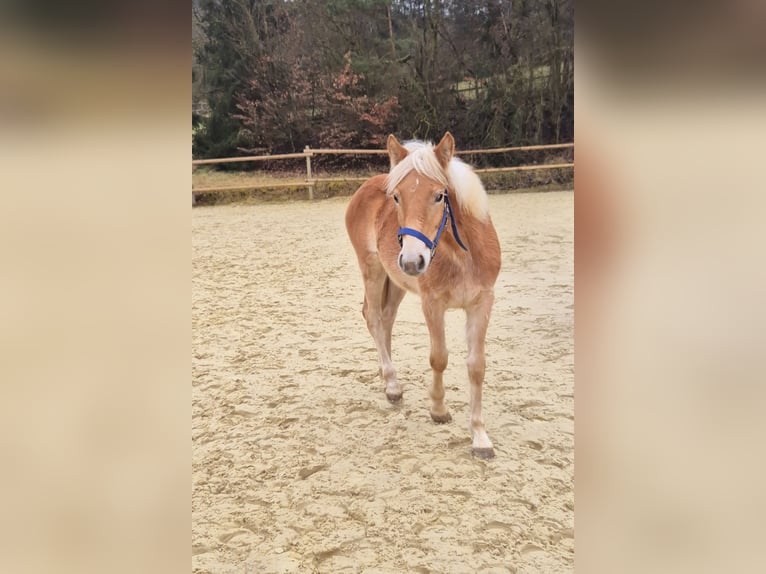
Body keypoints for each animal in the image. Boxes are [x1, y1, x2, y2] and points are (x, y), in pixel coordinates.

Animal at [346, 132, 504, 460]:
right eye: (396, 197)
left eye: (439, 196)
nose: (411, 261)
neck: (463, 254)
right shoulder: (432, 304)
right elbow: (439, 358)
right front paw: (439, 410)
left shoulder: (482, 303)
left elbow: (476, 366)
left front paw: (480, 436)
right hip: (373, 270)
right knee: (374, 318)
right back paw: (392, 385)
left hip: (395, 282)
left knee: (386, 319)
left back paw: (387, 376)